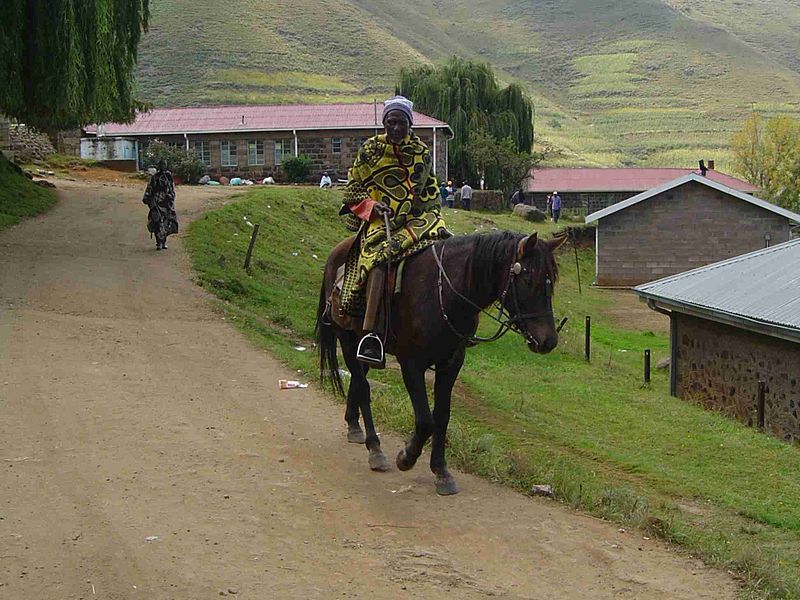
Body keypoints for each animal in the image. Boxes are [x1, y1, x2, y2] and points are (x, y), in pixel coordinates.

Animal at [316, 230, 564, 492]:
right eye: (529, 280)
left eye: (551, 282)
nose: (548, 341)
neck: (444, 293)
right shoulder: (411, 364)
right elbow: (426, 420)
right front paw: (407, 456)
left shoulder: (451, 364)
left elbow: (442, 416)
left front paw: (441, 471)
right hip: (347, 340)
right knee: (363, 389)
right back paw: (375, 449)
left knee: (358, 380)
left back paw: (354, 426)